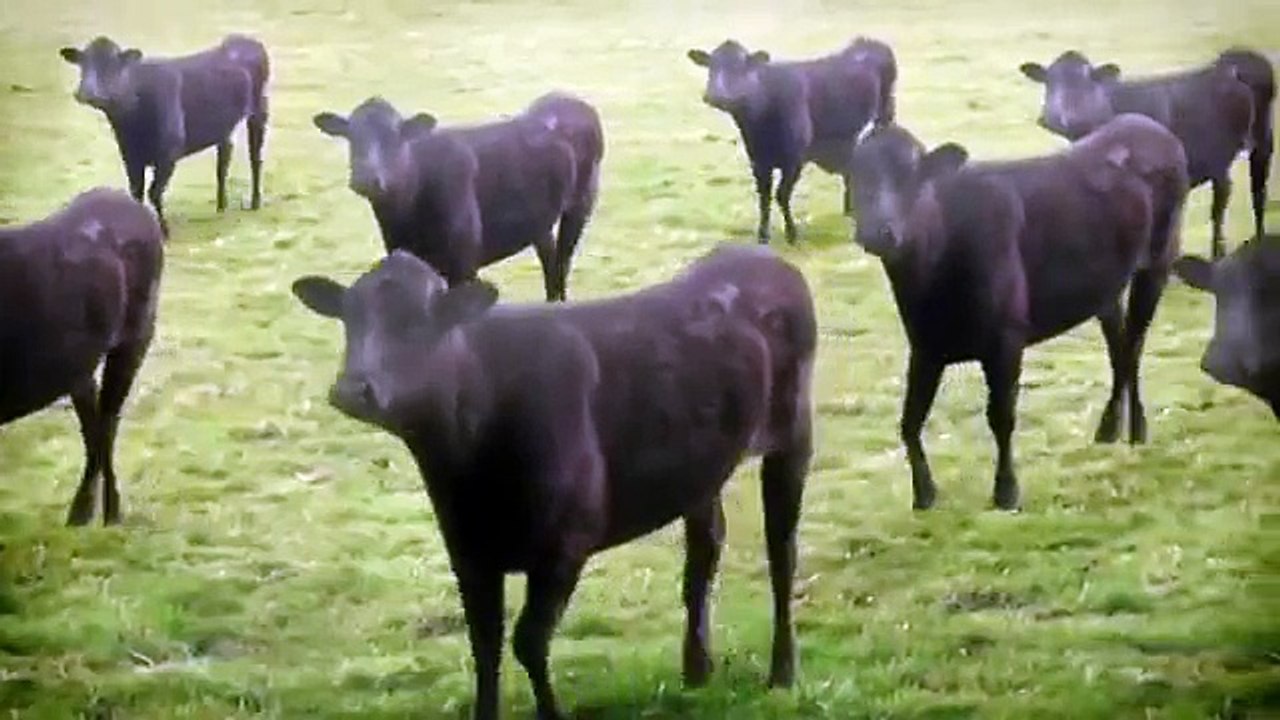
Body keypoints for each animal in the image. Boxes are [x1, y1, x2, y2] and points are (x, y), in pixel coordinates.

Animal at [59, 34, 270, 236]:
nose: (86, 92)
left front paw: (164, 230)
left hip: (259, 109)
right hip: (223, 128)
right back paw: (221, 205)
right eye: (83, 65)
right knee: (223, 160)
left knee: (255, 157)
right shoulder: (129, 155)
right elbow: (136, 192)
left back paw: (255, 202)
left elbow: (154, 192)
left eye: (112, 65)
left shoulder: (168, 153)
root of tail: (246, 40)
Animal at [290, 244, 816, 720]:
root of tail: (762, 257)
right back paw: (697, 669)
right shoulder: (468, 551)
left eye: (419, 322)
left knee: (782, 554)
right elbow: (485, 645)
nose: (352, 389)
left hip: (793, 437)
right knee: (704, 553)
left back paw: (783, 673)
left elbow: (528, 641)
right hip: (701, 465)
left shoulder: (564, 544)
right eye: (349, 318)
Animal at [312, 93, 604, 302]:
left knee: (563, 258)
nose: (366, 178)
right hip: (538, 216)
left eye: (396, 138)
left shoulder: (464, 263)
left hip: (583, 198)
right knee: (549, 254)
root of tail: (572, 100)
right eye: (350, 137)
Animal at [687, 37, 897, 243]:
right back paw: (850, 209)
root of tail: (869, 42)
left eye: (740, 67)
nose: (715, 95)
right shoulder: (758, 160)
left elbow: (781, 195)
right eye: (711, 67)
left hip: (885, 113)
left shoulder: (794, 160)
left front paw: (791, 233)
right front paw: (763, 234)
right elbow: (764, 196)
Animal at [848, 114, 1189, 510]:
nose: (879, 231)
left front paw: (1006, 491)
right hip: (1106, 287)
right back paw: (1109, 429)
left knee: (1134, 345)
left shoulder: (1006, 337)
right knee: (1120, 348)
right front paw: (924, 494)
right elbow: (910, 420)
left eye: (911, 175)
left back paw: (1137, 430)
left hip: (1158, 262)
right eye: (857, 175)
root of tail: (1146, 125)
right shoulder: (925, 344)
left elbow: (1001, 417)